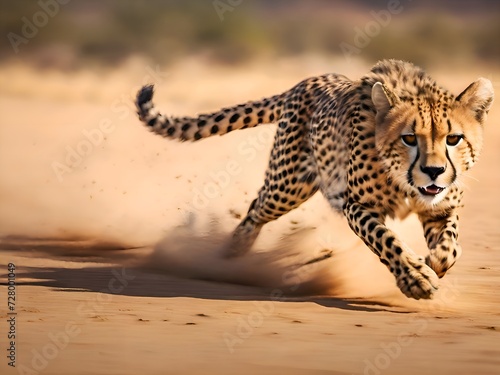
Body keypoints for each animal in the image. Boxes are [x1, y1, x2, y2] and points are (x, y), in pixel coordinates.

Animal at [136, 59, 492, 300]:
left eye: (453, 139)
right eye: (409, 138)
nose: (434, 171)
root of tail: (309, 80)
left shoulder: (441, 206)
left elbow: (451, 242)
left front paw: (435, 261)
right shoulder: (356, 205)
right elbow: (386, 240)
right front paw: (415, 278)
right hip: (288, 186)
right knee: (255, 210)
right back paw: (230, 256)